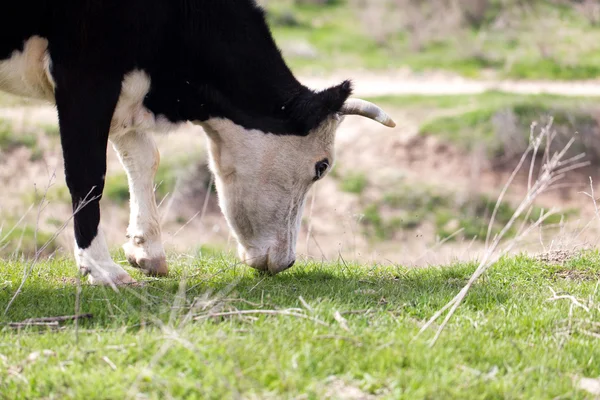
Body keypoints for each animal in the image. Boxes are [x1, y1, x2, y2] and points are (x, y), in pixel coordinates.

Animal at [0, 1, 396, 286]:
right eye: (321, 166)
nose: (287, 262)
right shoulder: (87, 75)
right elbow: (88, 174)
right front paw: (101, 268)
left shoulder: (125, 89)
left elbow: (144, 158)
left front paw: (147, 251)